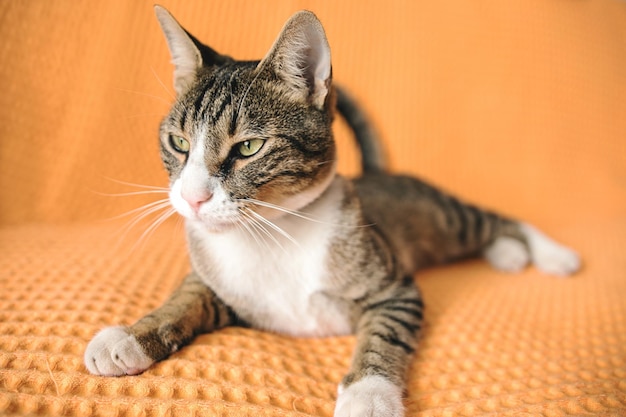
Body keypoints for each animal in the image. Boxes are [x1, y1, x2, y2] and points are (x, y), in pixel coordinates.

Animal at [84, 7, 580, 416]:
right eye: (179, 143)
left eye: (248, 147)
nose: (192, 197)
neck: (271, 234)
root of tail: (383, 172)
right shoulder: (221, 286)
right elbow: (186, 297)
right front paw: (131, 335)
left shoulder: (393, 288)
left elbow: (385, 332)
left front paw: (370, 394)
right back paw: (509, 254)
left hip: (442, 218)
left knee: (496, 220)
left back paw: (548, 255)